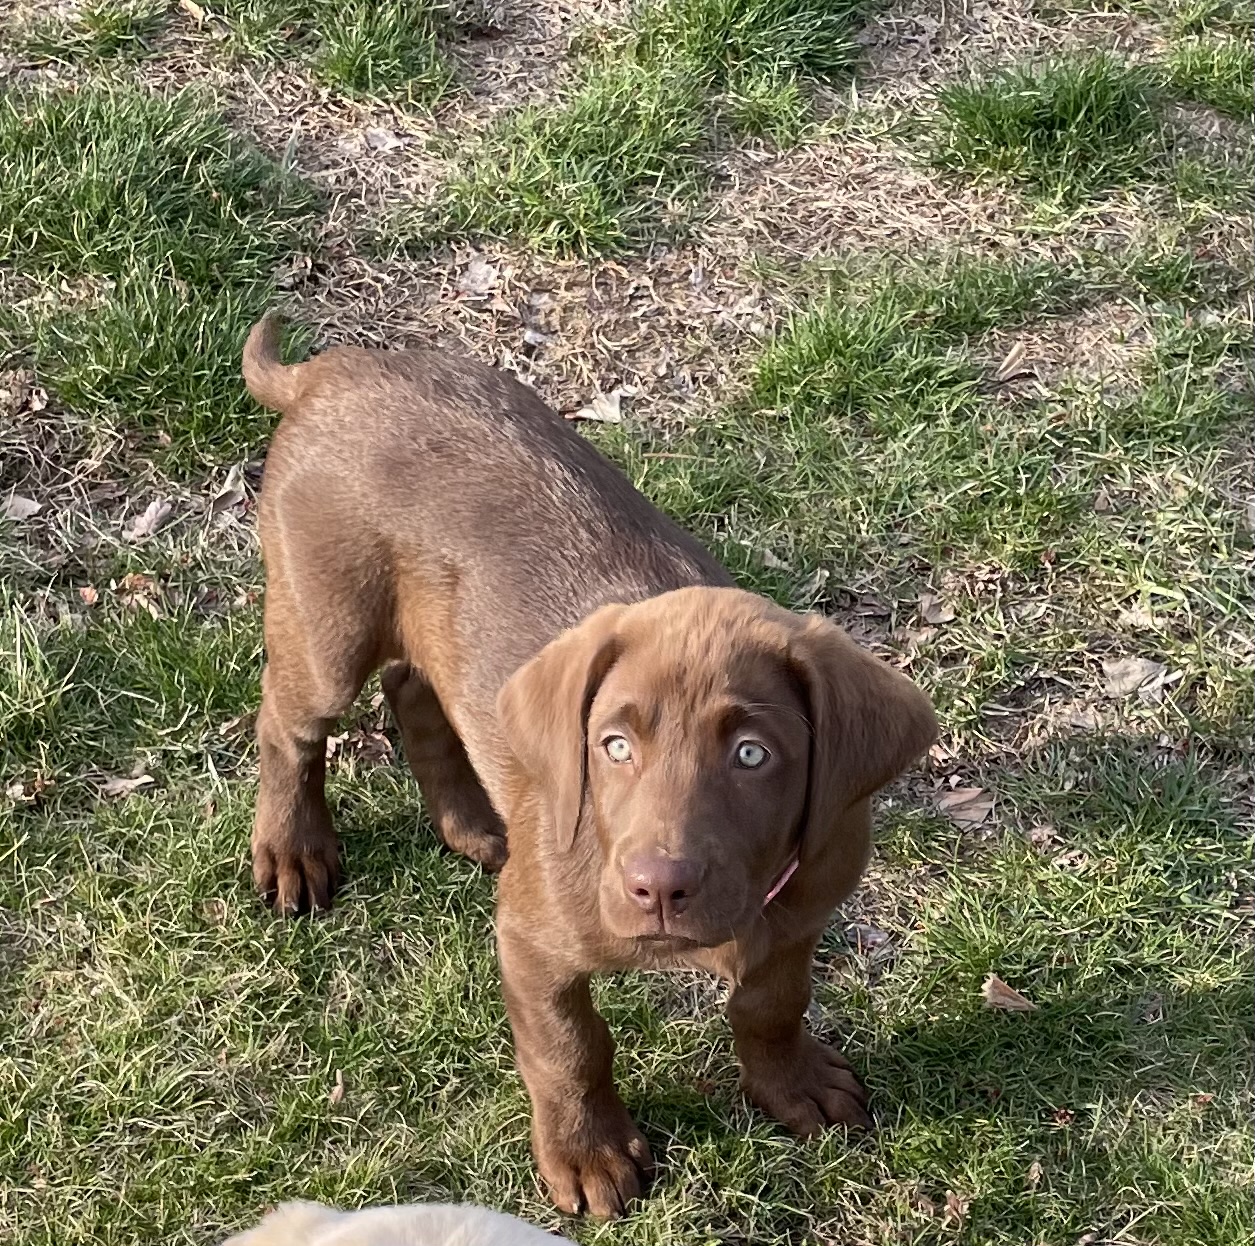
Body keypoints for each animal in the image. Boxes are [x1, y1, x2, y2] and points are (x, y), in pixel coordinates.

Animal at [244, 311, 938, 1214]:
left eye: (752, 754)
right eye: (614, 745)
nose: (658, 889)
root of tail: (333, 371)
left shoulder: (801, 912)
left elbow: (771, 1005)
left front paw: (790, 1085)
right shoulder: (532, 943)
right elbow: (568, 1046)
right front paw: (588, 1155)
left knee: (415, 687)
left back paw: (474, 823)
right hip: (325, 624)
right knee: (290, 723)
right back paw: (293, 850)